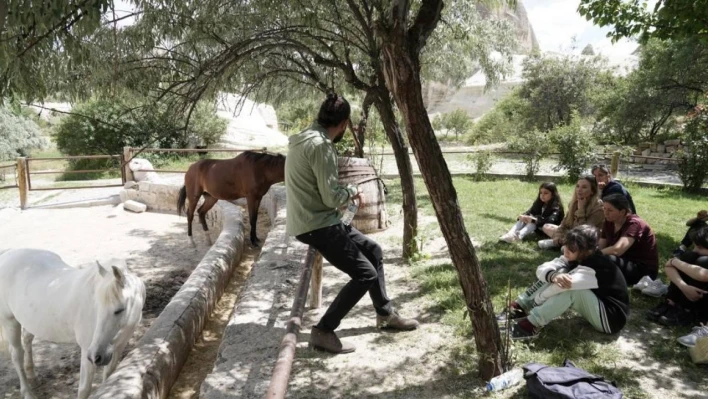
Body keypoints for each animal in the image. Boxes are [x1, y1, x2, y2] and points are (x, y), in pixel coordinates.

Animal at [0, 248, 145, 398]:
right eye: (97, 307)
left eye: (120, 310)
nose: (96, 355)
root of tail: (7, 254)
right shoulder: (87, 350)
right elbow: (84, 389)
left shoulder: (118, 347)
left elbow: (109, 377)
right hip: (10, 321)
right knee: (16, 355)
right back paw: (27, 393)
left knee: (27, 339)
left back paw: (32, 376)